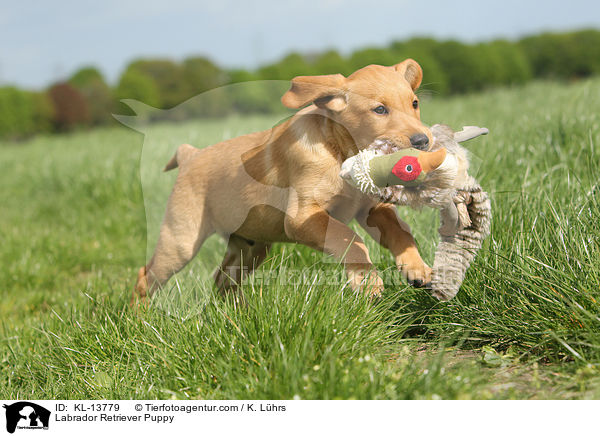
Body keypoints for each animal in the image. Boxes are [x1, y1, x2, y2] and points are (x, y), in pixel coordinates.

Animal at [135, 58, 436, 304]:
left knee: (223, 280)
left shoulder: (372, 209)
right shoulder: (301, 216)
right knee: (145, 277)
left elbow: (400, 232)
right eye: (379, 110)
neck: (340, 152)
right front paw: (367, 281)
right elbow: (351, 239)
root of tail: (190, 155)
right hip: (181, 241)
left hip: (250, 246)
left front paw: (417, 267)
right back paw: (139, 321)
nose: (423, 141)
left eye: (415, 103)